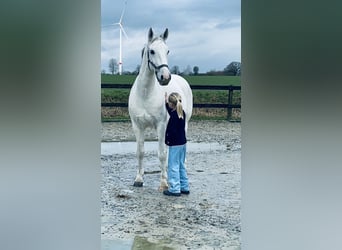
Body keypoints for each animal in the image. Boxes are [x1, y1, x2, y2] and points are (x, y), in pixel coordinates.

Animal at [128, 27, 192, 189]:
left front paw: (164, 182)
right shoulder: (137, 126)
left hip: (184, 123)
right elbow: (140, 152)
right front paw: (139, 178)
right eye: (152, 51)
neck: (145, 94)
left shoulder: (161, 126)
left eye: (167, 51)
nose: (165, 77)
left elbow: (162, 154)